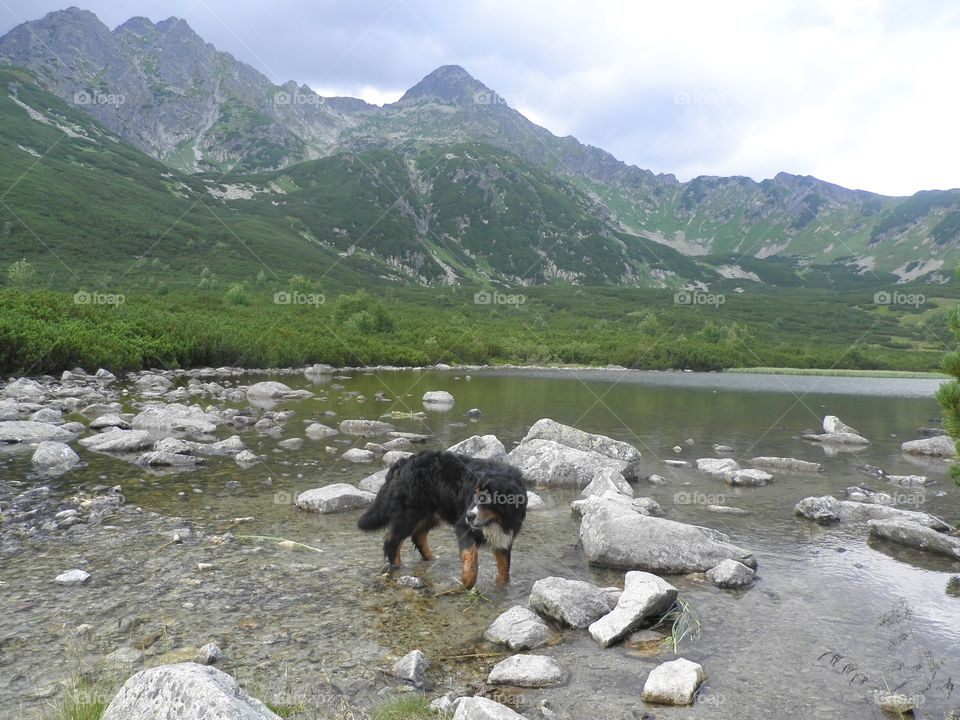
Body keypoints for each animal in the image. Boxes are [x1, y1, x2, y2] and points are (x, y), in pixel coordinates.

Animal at [358, 450, 528, 592]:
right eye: (475, 494)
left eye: (488, 497)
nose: (470, 515)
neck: (497, 520)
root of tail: (405, 461)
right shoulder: (463, 525)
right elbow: (471, 555)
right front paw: (467, 581)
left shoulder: (504, 537)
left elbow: (504, 567)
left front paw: (502, 587)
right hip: (410, 514)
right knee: (393, 541)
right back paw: (397, 567)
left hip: (429, 515)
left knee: (418, 536)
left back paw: (431, 558)